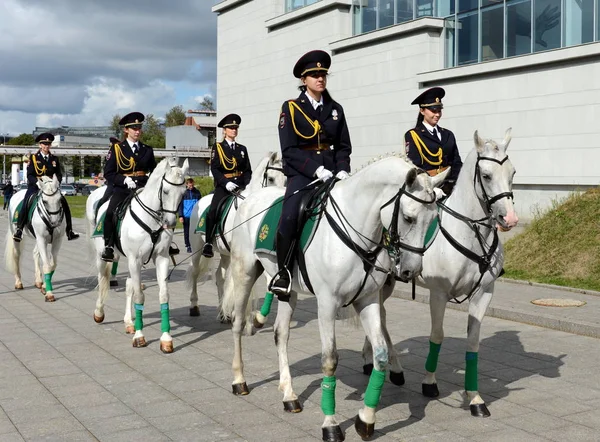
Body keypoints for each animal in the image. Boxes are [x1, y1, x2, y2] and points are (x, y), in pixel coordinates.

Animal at [4, 174, 65, 302]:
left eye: (59, 199)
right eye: (45, 201)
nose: (55, 223)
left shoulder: (57, 240)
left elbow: (53, 264)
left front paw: (44, 287)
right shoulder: (41, 239)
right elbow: (47, 264)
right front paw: (49, 294)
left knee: (35, 253)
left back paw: (38, 281)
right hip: (16, 234)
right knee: (16, 255)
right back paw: (18, 282)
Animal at [87, 157, 188, 354]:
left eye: (183, 193)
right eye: (165, 191)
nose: (171, 223)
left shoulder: (161, 258)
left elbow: (162, 295)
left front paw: (166, 339)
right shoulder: (135, 260)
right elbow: (139, 296)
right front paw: (140, 337)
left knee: (128, 286)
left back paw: (128, 322)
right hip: (104, 256)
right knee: (102, 280)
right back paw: (99, 313)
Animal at [185, 152, 286, 318]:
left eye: (286, 178)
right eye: (271, 178)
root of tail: (200, 201)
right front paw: (237, 312)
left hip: (225, 253)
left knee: (219, 276)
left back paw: (222, 312)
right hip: (197, 248)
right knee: (194, 272)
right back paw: (194, 306)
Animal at [223, 156, 448, 442]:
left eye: (433, 220)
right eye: (409, 218)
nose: (411, 271)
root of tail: (250, 199)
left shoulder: (368, 300)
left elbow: (380, 355)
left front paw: (366, 420)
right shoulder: (327, 304)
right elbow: (329, 361)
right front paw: (330, 424)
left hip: (288, 291)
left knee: (281, 334)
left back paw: (289, 395)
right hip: (245, 272)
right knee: (238, 324)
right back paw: (239, 380)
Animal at [364, 129, 516, 418]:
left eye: (513, 172)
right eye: (487, 175)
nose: (509, 219)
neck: (470, 233)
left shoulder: (484, 294)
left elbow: (473, 343)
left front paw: (475, 398)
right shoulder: (438, 294)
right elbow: (437, 335)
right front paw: (429, 383)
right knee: (380, 317)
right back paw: (394, 369)